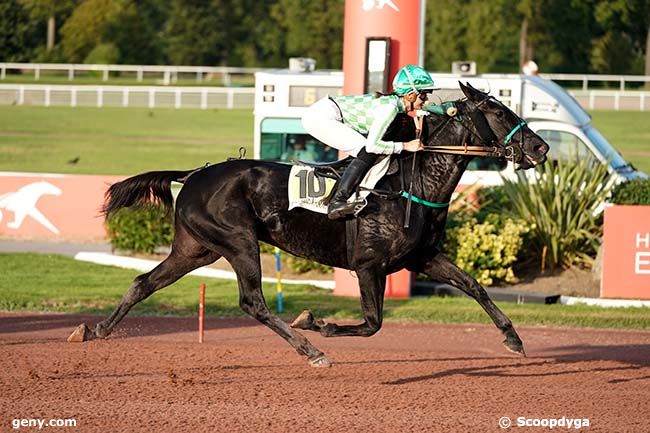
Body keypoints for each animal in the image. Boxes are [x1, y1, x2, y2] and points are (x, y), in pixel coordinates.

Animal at [71, 83, 548, 364]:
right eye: (499, 112)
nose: (541, 148)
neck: (412, 185)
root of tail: (193, 175)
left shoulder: (422, 258)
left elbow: (474, 286)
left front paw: (514, 339)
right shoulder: (369, 266)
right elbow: (372, 323)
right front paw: (317, 323)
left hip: (196, 248)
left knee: (144, 282)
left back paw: (96, 330)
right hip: (239, 241)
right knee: (253, 302)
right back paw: (309, 348)